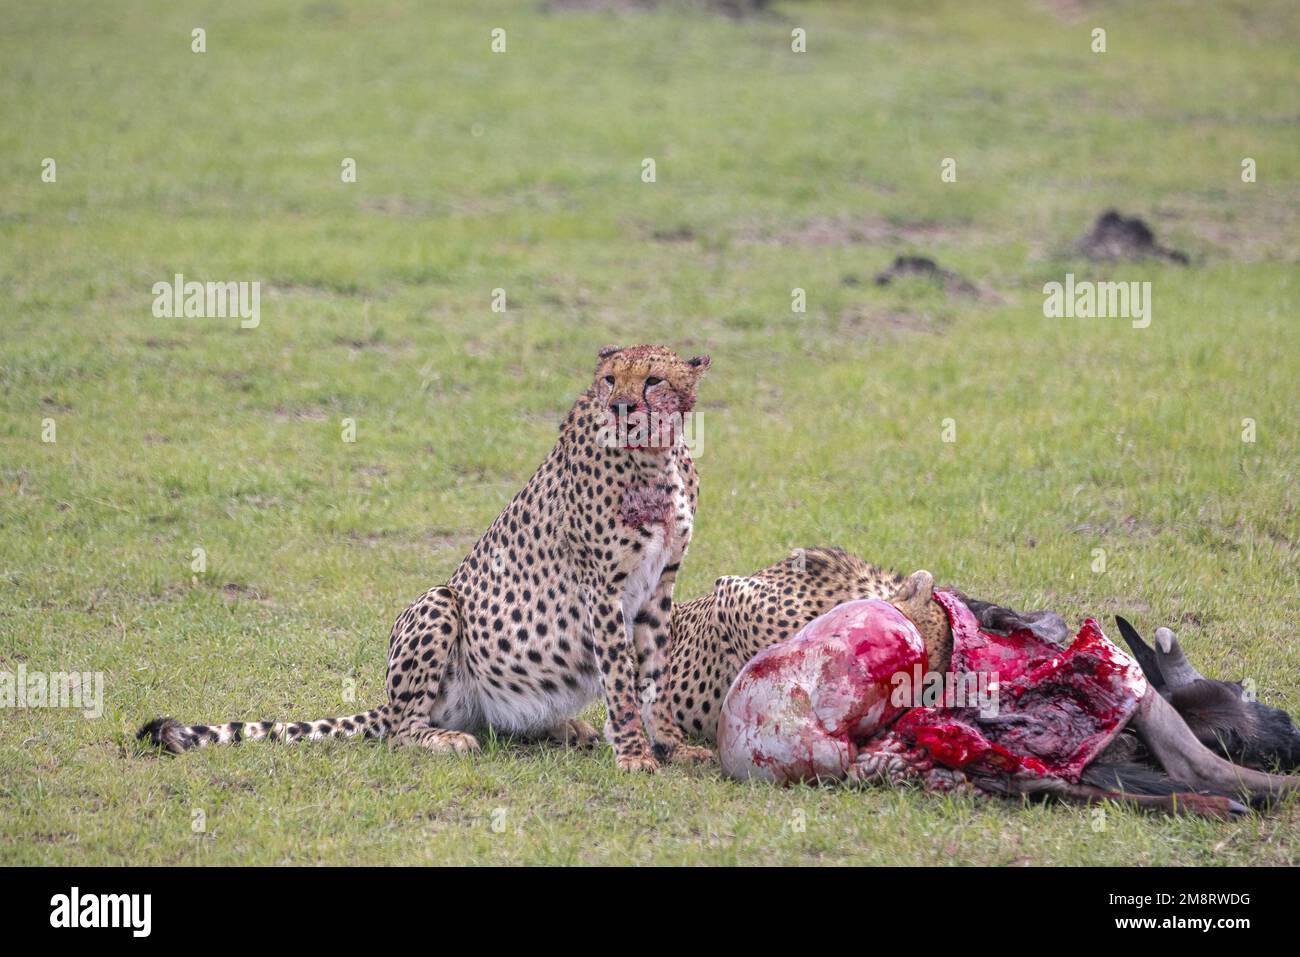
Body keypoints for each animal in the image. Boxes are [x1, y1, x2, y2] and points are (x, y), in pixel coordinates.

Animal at [139, 343, 712, 769]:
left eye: (654, 381)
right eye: (611, 379)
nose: (621, 407)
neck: (657, 457)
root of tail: (387, 705)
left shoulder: (659, 584)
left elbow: (653, 677)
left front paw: (669, 745)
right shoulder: (603, 587)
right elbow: (620, 677)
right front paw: (636, 756)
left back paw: (564, 727)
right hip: (438, 603)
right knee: (401, 731)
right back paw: (445, 739)